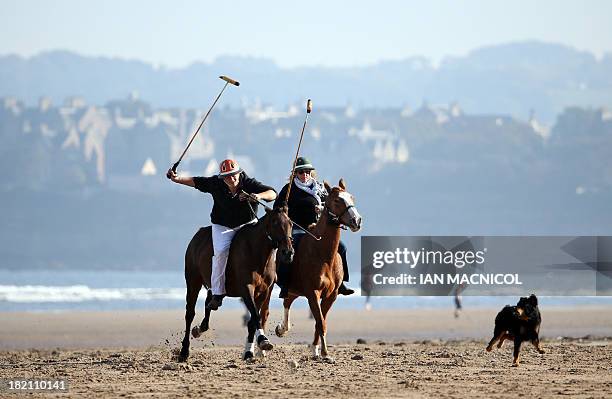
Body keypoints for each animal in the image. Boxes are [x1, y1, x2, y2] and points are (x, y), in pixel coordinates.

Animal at [179, 206, 294, 362]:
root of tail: (197, 235)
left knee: (210, 302)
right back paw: (184, 351)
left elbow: (252, 320)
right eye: (274, 222)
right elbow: (255, 316)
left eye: (291, 223)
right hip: (193, 281)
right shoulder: (247, 288)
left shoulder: (263, 292)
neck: (256, 252)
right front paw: (263, 340)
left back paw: (199, 328)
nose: (288, 252)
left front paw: (249, 352)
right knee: (189, 313)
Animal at [274, 180, 360, 360]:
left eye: (351, 197)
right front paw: (325, 353)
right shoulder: (313, 293)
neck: (322, 253)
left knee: (287, 301)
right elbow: (320, 322)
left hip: (295, 290)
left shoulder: (331, 296)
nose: (357, 220)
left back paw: (283, 328)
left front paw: (315, 349)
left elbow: (321, 321)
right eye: (337, 200)